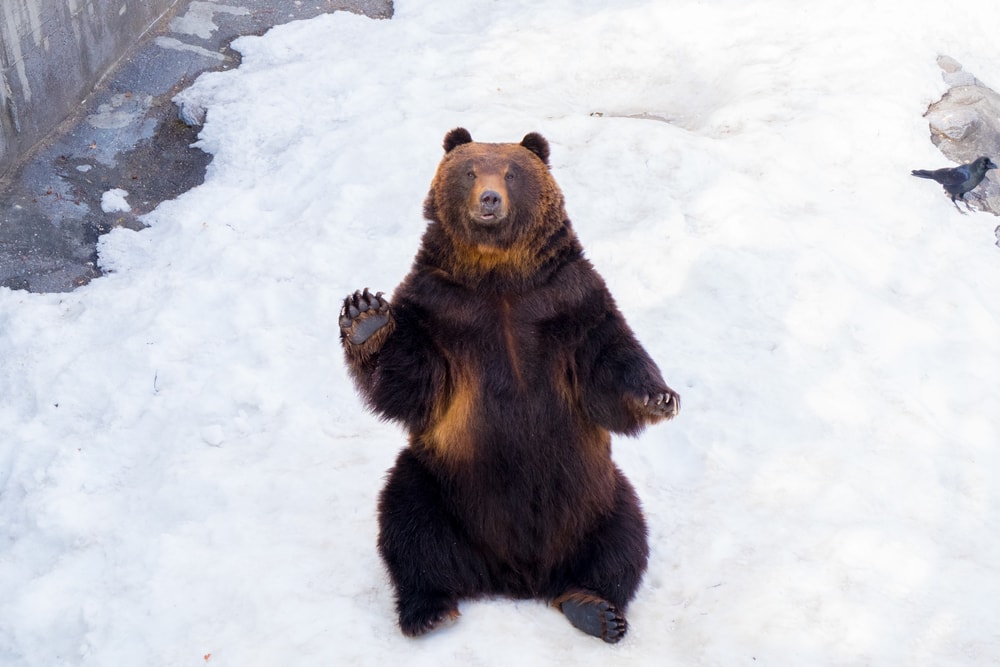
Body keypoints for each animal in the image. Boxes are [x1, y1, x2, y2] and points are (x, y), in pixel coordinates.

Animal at [339, 127, 680, 643]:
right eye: (469, 170)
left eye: (512, 172)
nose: (490, 199)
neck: (498, 274)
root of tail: (517, 577)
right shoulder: (440, 307)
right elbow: (412, 381)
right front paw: (365, 316)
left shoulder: (568, 300)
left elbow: (608, 363)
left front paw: (659, 397)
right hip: (444, 487)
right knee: (407, 520)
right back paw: (428, 608)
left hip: (595, 494)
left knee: (623, 538)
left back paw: (594, 607)